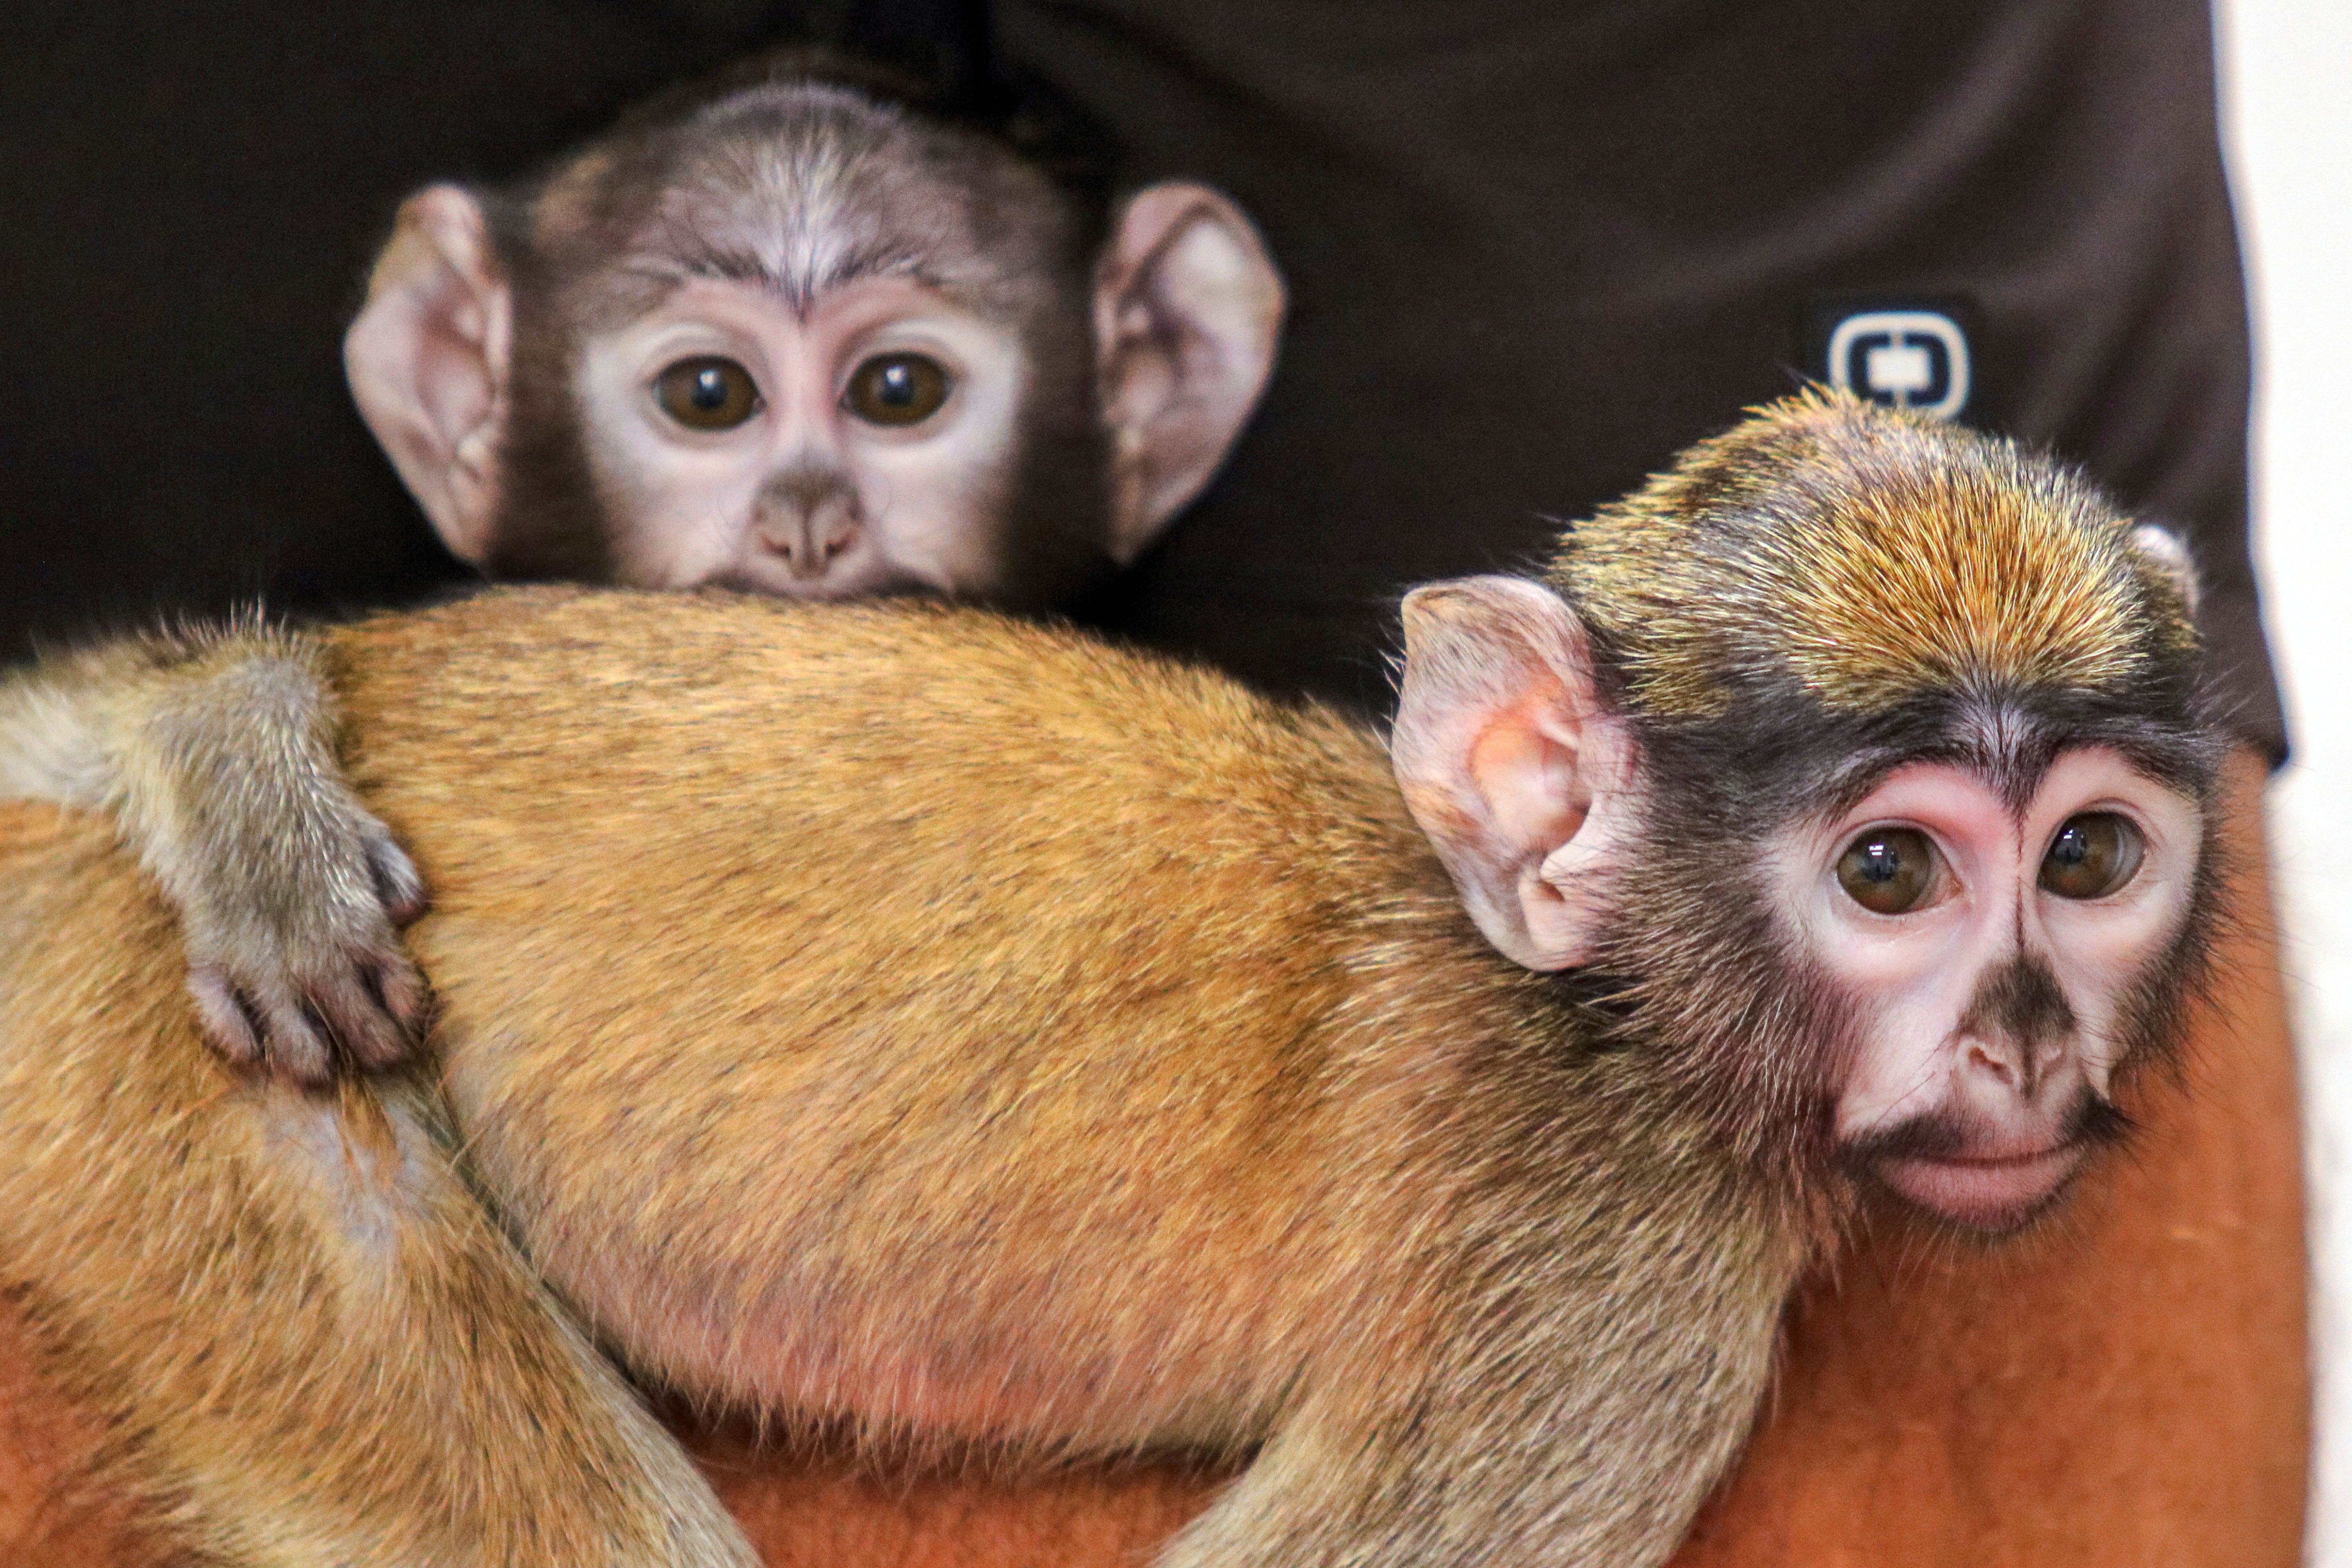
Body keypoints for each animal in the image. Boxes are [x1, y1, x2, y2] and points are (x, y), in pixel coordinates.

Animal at [0, 394, 2221, 1566]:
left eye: (2090, 859)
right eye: (1891, 872)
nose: (2028, 1043)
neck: (1591, 992)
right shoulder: (1613, 1272)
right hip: (129, 1015)